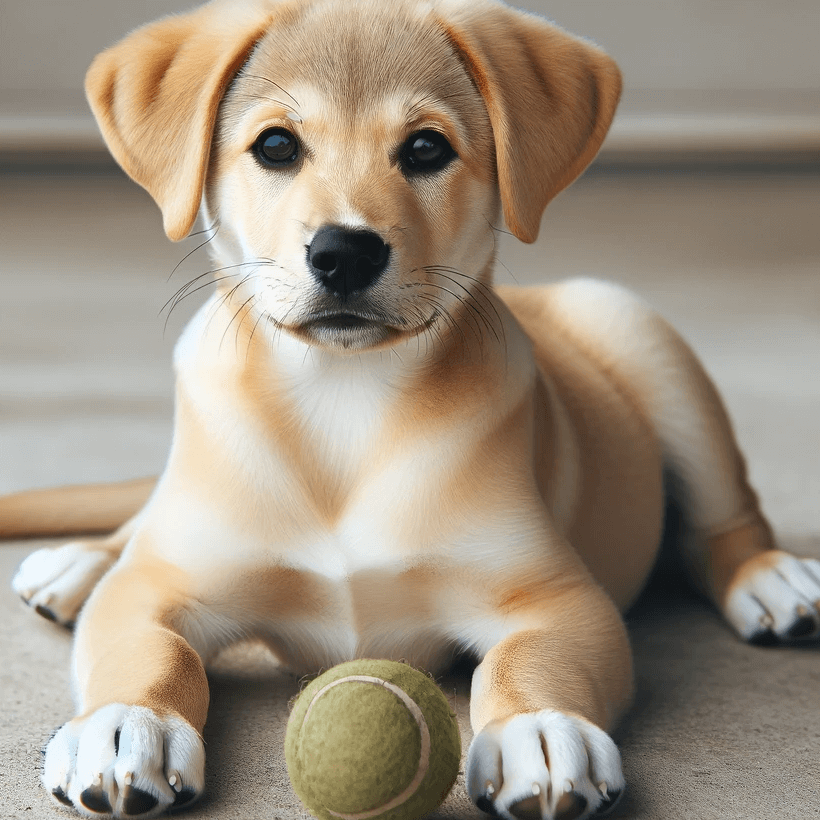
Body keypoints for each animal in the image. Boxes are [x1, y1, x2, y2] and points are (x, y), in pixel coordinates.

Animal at [3, 0, 816, 816]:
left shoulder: (556, 597)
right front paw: (122, 723)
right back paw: (82, 564)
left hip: (644, 338)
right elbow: (152, 651)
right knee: (141, 526)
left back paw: (772, 580)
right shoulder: (157, 588)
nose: (344, 253)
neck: (342, 398)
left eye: (426, 149)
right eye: (275, 145)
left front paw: (539, 731)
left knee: (723, 520)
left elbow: (527, 660)